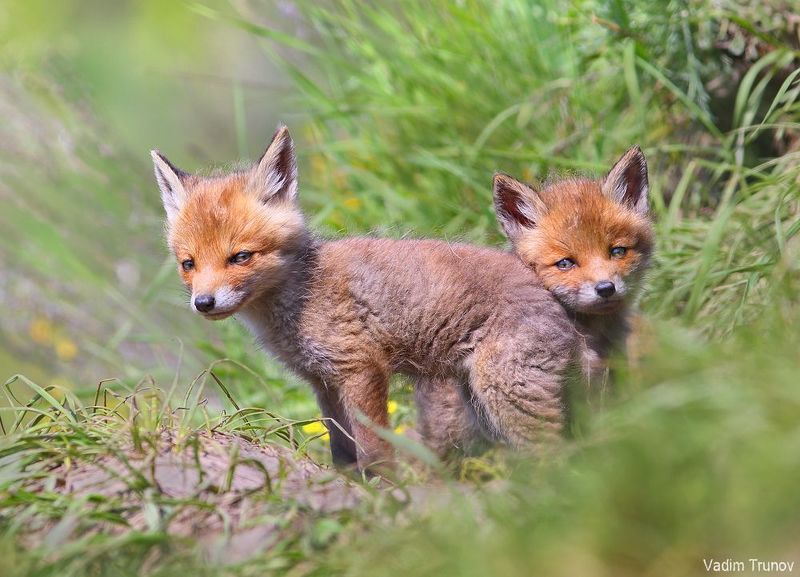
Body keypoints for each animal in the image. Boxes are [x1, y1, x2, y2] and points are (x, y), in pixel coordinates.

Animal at [151, 125, 579, 472]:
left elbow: (375, 448)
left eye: (240, 257)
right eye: (188, 264)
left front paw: (386, 491)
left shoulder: (360, 366)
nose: (204, 303)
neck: (300, 296)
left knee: (556, 455)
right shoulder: (322, 381)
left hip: (504, 393)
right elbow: (341, 448)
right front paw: (349, 482)